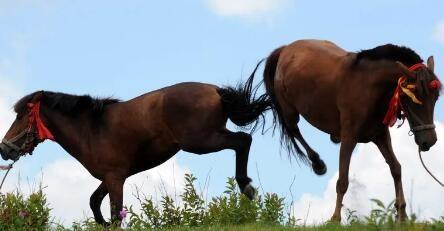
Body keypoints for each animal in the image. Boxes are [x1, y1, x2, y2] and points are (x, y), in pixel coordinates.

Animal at [0, 76, 270, 225]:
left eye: (21, 115)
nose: (4, 149)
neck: (91, 128)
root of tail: (215, 91)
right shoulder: (112, 177)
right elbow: (94, 202)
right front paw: (102, 223)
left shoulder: (115, 179)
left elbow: (114, 213)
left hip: (201, 142)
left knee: (243, 140)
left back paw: (246, 186)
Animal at [256, 39, 440, 222]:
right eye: (413, 97)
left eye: (436, 97)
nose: (429, 141)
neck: (369, 86)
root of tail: (285, 49)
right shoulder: (349, 137)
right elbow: (342, 181)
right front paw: (335, 218)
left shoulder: (380, 135)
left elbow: (396, 168)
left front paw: (402, 214)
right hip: (289, 111)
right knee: (293, 131)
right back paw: (317, 163)